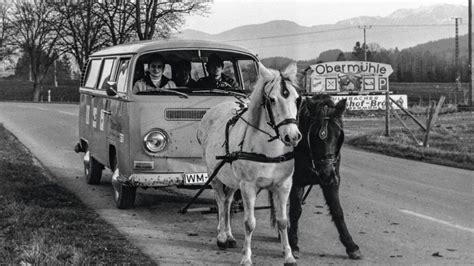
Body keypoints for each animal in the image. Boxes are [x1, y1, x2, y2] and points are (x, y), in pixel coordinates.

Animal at [197, 62, 302, 264]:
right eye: (272, 100)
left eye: (297, 99)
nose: (292, 136)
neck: (269, 152)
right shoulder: (248, 186)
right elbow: (249, 223)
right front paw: (246, 257)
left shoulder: (284, 185)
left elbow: (283, 221)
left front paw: (288, 255)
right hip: (215, 175)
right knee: (220, 202)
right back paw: (221, 236)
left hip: (231, 180)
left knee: (228, 202)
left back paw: (229, 235)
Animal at [286, 95, 362, 260]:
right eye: (314, 135)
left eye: (338, 135)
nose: (326, 173)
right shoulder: (296, 181)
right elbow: (295, 210)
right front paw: (293, 243)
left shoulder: (333, 181)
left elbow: (337, 210)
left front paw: (351, 245)